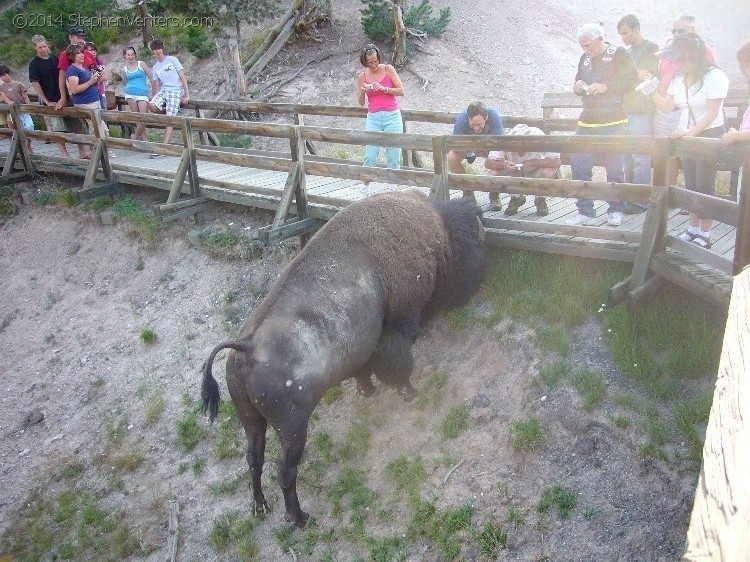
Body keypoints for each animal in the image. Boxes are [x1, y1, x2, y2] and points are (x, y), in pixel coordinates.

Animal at [203, 189, 484, 524]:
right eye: (470, 244)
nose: (479, 281)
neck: (435, 231)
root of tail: (246, 346)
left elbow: (363, 371)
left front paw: (369, 391)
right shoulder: (403, 323)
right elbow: (399, 364)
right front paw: (411, 393)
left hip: (251, 419)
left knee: (253, 458)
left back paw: (260, 506)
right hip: (293, 428)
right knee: (285, 469)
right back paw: (299, 517)